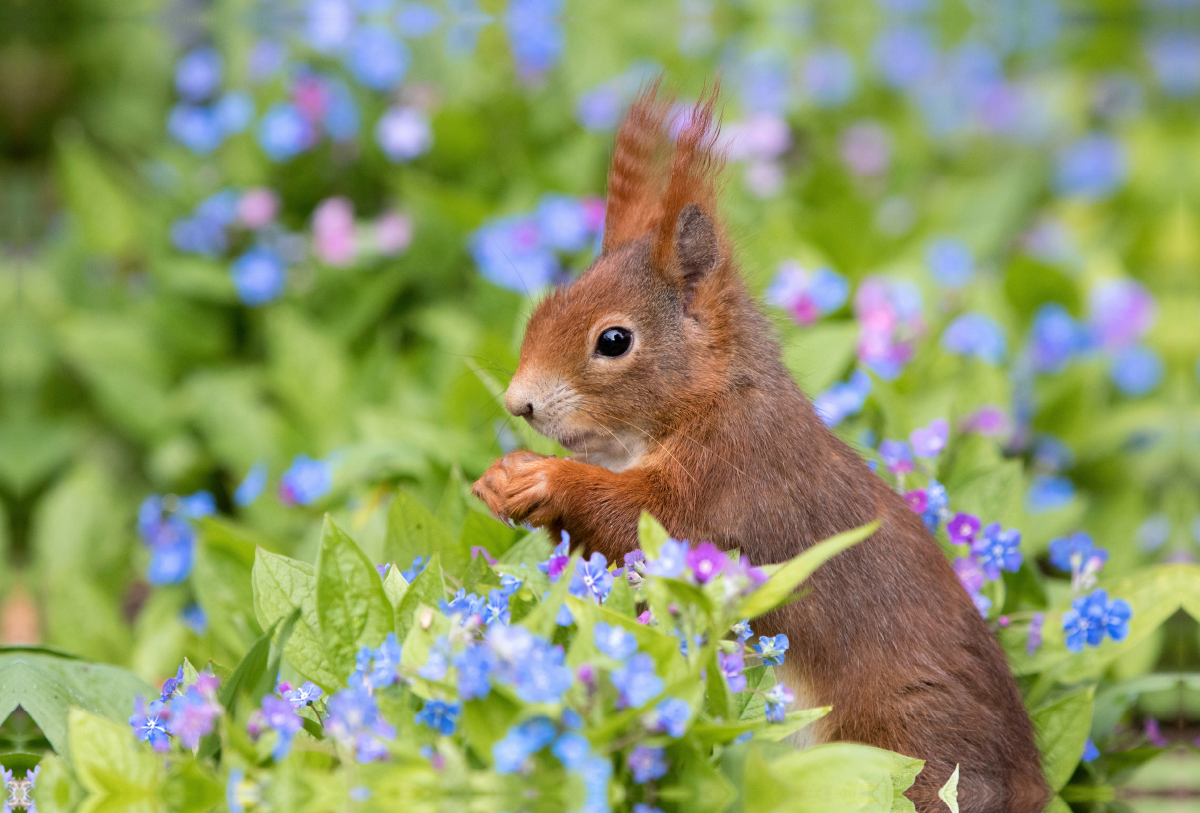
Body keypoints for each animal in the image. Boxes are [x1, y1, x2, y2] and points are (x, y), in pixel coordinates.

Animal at [470, 84, 1051, 813]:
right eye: (544, 307)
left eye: (614, 340)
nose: (517, 402)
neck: (708, 401)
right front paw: (502, 478)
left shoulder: (733, 479)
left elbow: (645, 521)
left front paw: (546, 479)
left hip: (907, 750)